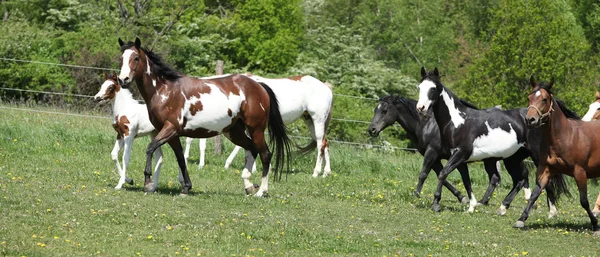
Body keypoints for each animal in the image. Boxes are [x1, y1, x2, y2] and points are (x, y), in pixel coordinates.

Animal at [116, 37, 290, 195]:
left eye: (136, 58)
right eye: (121, 59)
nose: (123, 79)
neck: (164, 90)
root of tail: (258, 86)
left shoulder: (170, 128)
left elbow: (150, 148)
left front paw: (148, 182)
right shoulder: (172, 134)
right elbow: (181, 158)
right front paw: (186, 187)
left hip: (256, 129)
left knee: (265, 154)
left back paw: (262, 191)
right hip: (234, 132)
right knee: (252, 148)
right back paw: (248, 185)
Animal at [418, 66, 544, 212]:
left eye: (432, 88)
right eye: (419, 87)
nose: (420, 108)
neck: (458, 122)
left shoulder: (460, 153)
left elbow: (443, 173)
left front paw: (436, 203)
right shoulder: (460, 158)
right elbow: (466, 180)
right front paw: (472, 206)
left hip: (535, 157)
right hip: (512, 158)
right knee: (519, 180)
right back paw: (503, 205)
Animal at [516, 75, 600, 233]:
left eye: (544, 99)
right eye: (529, 97)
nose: (530, 120)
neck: (565, 137)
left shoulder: (580, 172)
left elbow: (584, 201)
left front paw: (595, 224)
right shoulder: (546, 170)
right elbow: (535, 194)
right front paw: (521, 219)